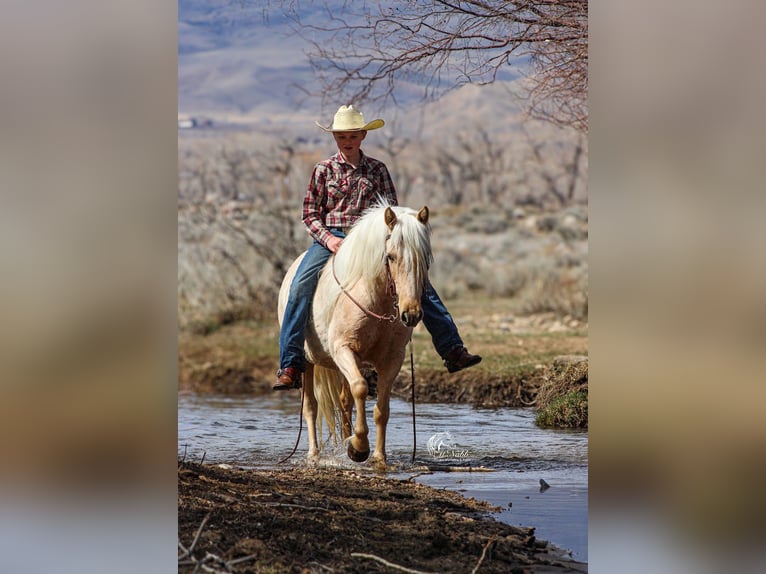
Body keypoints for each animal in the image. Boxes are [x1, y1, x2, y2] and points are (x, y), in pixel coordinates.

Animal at [277, 202, 432, 465]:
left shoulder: (392, 359)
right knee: (311, 406)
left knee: (344, 401)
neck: (375, 299)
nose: (411, 314)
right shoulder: (343, 349)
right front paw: (359, 448)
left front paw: (378, 456)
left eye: (424, 258)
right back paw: (314, 454)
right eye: (390, 256)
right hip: (307, 361)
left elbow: (382, 409)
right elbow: (360, 387)